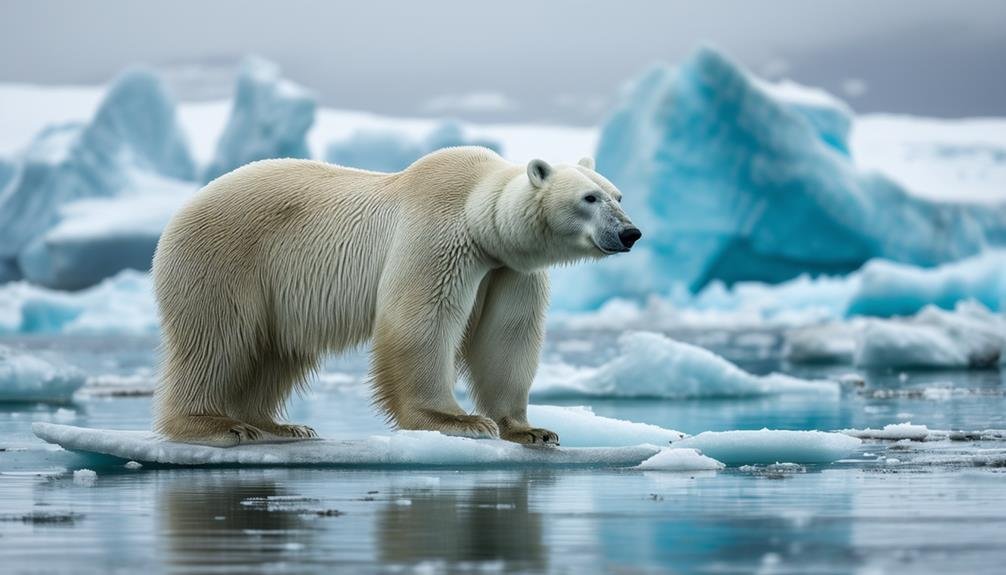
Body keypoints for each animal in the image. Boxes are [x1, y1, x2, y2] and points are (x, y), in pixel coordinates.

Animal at [152, 146, 639, 444]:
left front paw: (531, 429)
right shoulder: (439, 236)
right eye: (589, 198)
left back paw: (277, 425)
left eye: (618, 195)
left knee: (274, 351)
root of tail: (185, 207)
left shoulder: (509, 270)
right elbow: (422, 321)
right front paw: (458, 420)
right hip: (226, 259)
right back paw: (217, 424)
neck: (477, 212)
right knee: (216, 339)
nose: (630, 233)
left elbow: (507, 337)